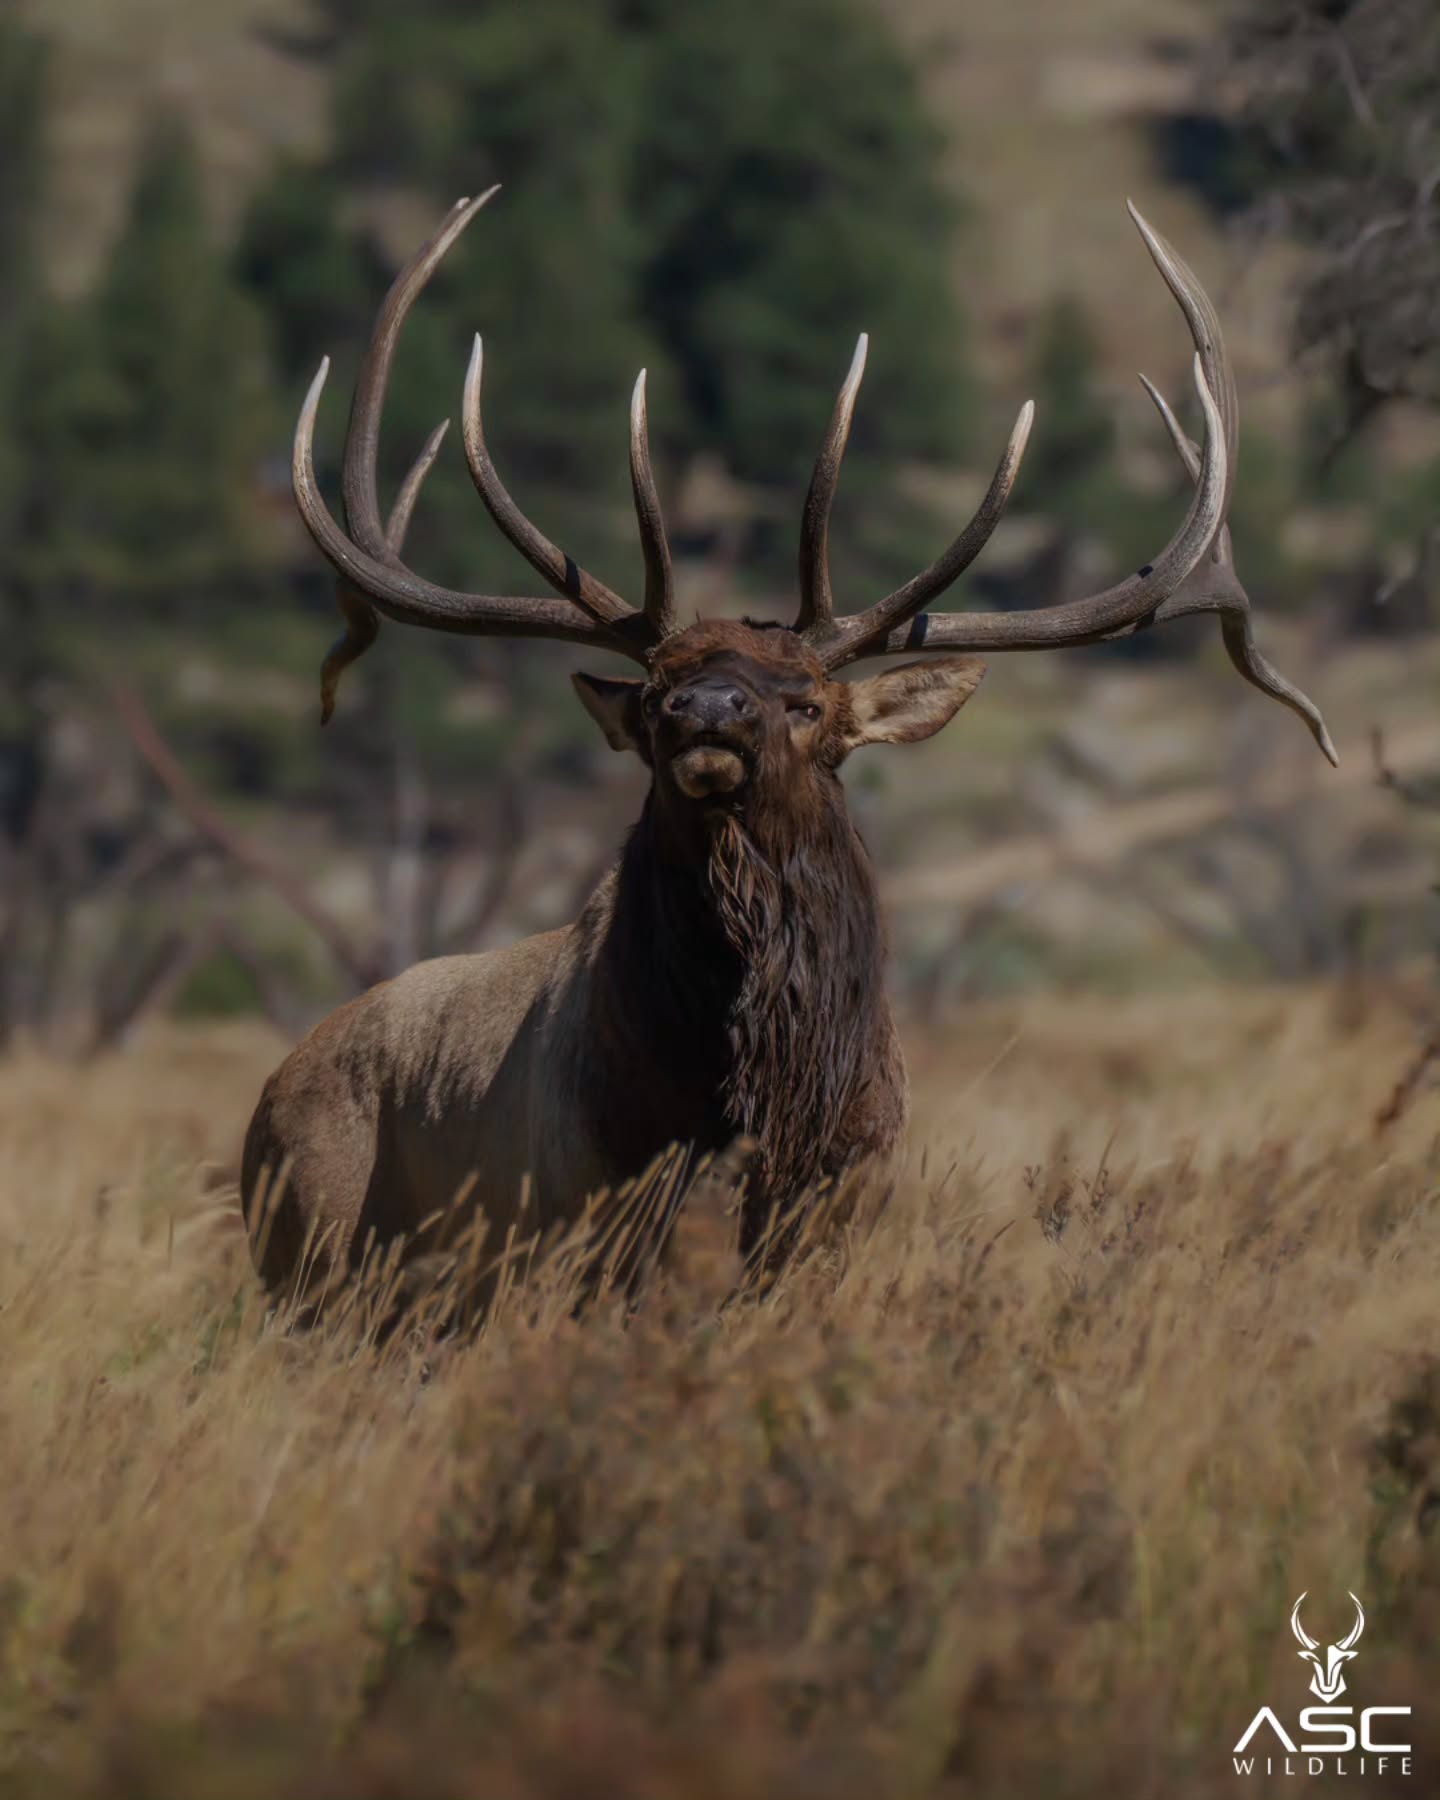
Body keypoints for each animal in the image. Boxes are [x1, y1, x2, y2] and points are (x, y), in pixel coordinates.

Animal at [241, 189, 1335, 1309]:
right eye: (660, 691)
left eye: (807, 702)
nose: (709, 710)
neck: (766, 1113)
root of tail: (270, 1096)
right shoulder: (586, 1225)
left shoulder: (840, 1217)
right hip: (313, 1265)